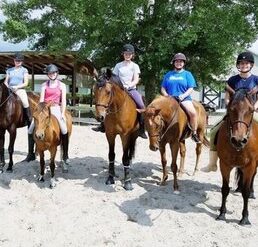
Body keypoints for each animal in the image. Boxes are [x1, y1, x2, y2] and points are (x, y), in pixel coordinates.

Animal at [216, 88, 258, 225]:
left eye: (251, 110)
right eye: (231, 109)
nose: (238, 140)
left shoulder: (250, 166)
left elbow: (245, 192)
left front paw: (245, 217)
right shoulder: (224, 164)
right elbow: (225, 189)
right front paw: (222, 213)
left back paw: (252, 193)